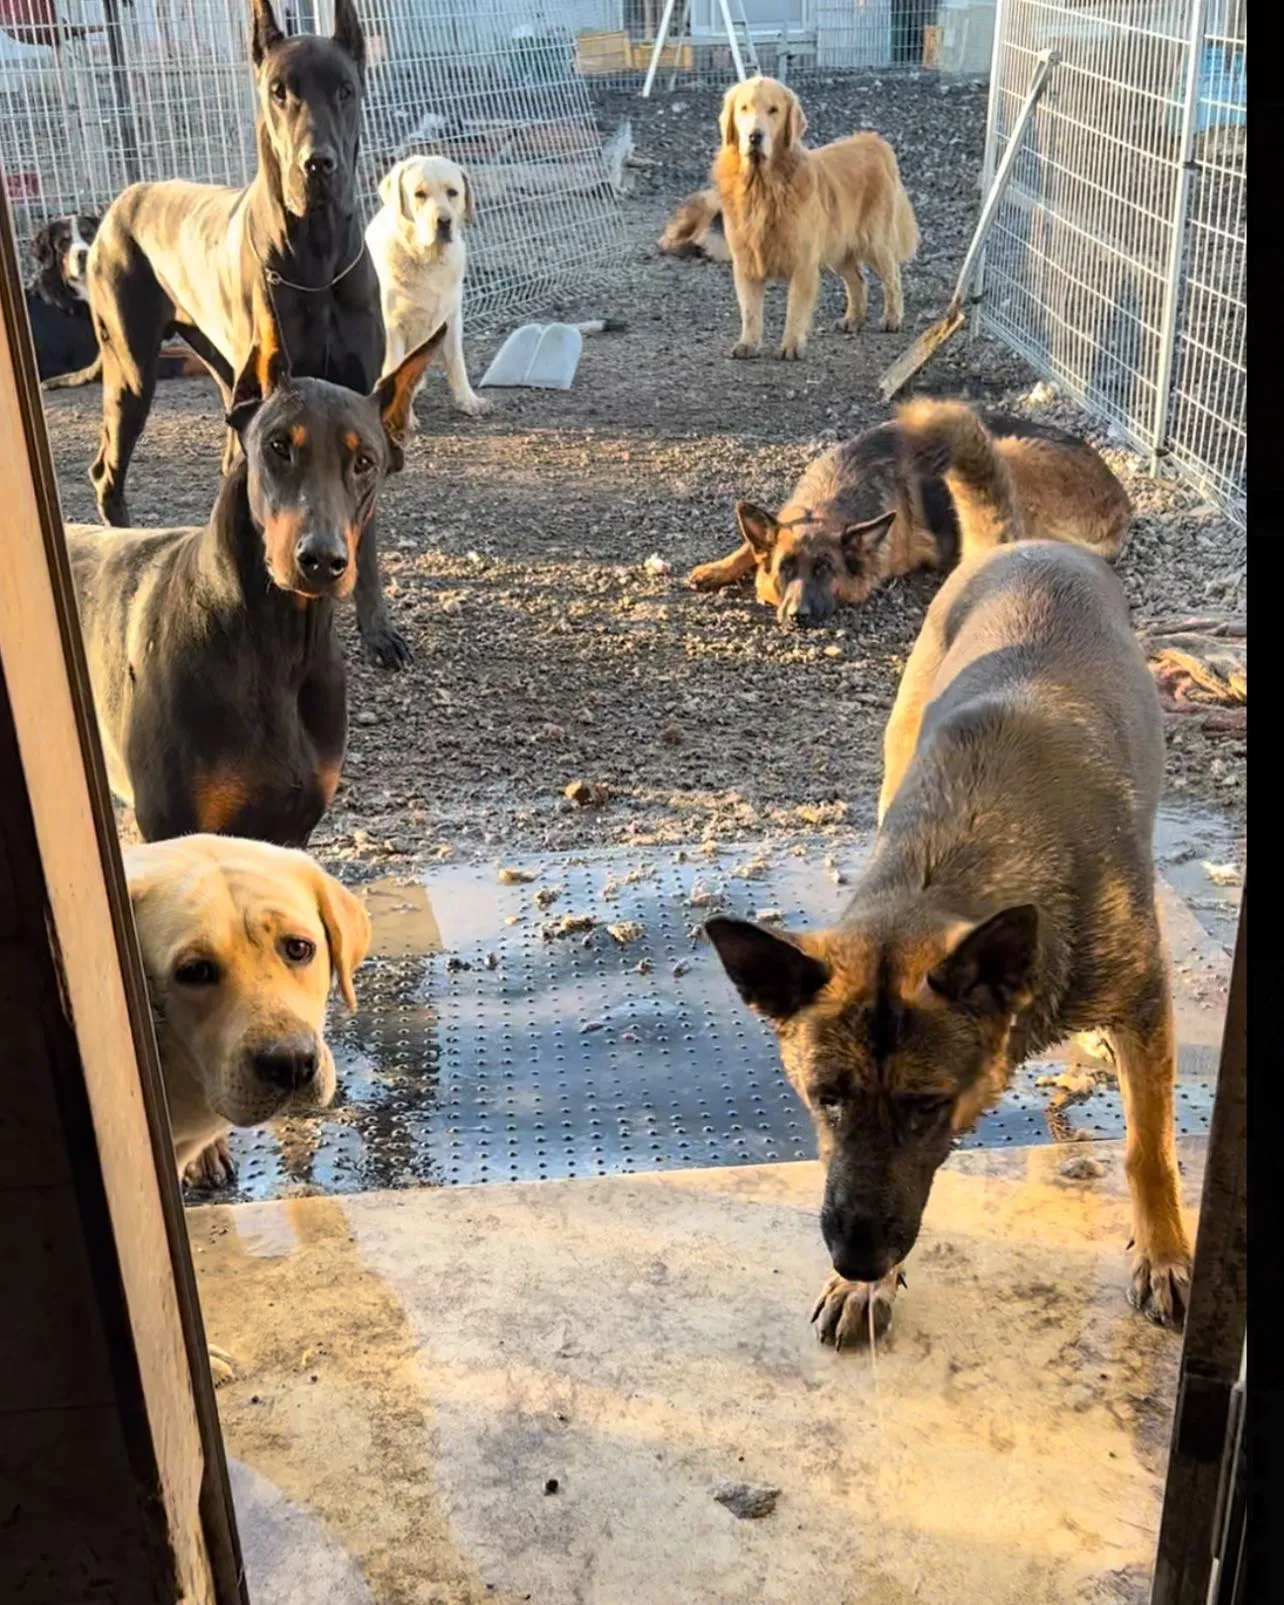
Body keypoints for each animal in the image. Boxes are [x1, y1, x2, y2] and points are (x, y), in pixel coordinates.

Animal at [66, 304, 446, 847]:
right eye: (278, 445)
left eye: (365, 462)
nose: (322, 559)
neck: (276, 645)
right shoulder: (174, 827)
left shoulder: (293, 827)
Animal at [83, 0, 410, 664]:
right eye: (279, 91)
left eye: (345, 89)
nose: (318, 165)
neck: (314, 256)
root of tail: (124, 197)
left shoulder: (361, 405)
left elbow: (362, 533)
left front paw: (377, 628)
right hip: (131, 373)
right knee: (108, 469)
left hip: (223, 370)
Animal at [364, 151, 487, 420]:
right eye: (419, 194)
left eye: (452, 192)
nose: (444, 221)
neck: (427, 260)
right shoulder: (392, 327)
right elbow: (394, 370)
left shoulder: (451, 319)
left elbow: (456, 362)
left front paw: (468, 400)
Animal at [712, 75, 911, 361]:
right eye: (744, 109)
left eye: (773, 110)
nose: (754, 136)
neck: (763, 186)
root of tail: (875, 141)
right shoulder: (746, 261)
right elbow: (750, 310)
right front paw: (748, 344)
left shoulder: (803, 262)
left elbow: (795, 308)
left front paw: (791, 345)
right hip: (839, 249)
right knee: (858, 280)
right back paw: (852, 319)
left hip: (876, 241)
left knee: (892, 278)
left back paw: (892, 318)